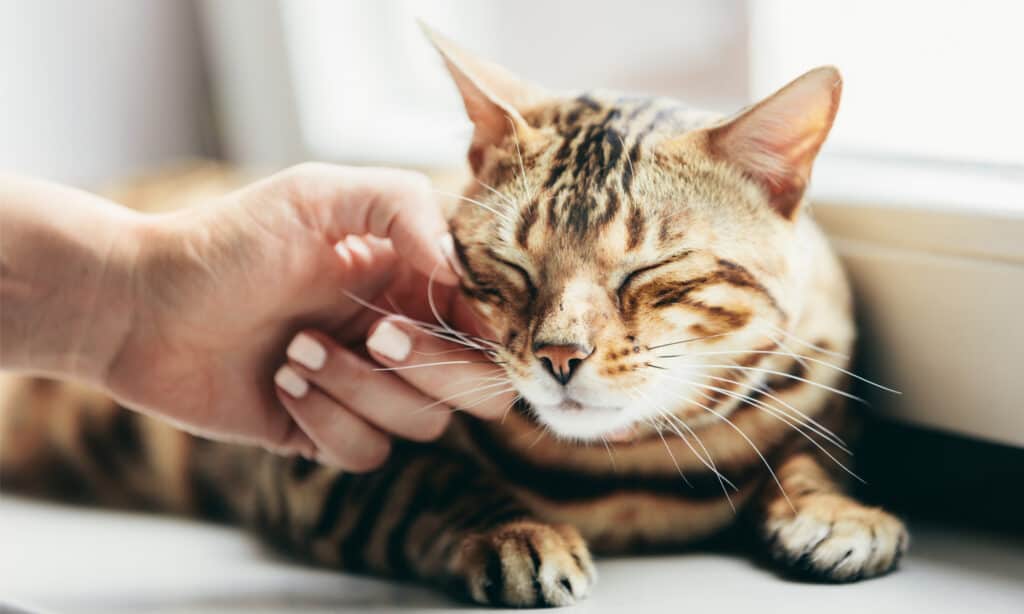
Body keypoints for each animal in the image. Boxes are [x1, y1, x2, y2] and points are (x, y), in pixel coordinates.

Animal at [4, 26, 909, 605]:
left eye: (649, 272)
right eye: (510, 265)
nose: (559, 356)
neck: (624, 471)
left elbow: (808, 452)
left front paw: (837, 510)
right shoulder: (313, 466)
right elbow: (428, 482)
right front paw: (515, 532)